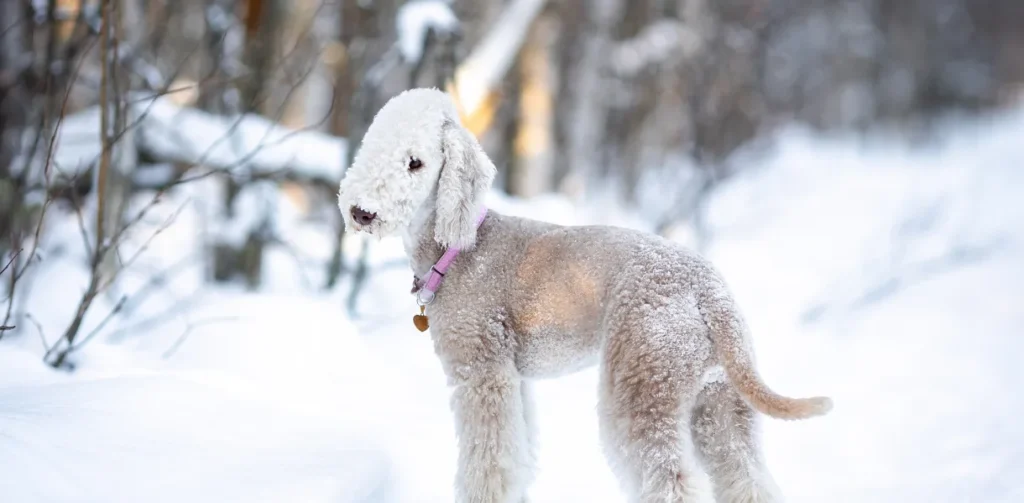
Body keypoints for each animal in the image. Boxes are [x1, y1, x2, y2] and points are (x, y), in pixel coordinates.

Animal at [335, 88, 831, 501]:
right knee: (747, 476)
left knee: (671, 480)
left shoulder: (481, 374)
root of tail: (708, 290)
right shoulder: (513, 380)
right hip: (719, 400)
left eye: (415, 163)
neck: (457, 246)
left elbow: (489, 463)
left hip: (641, 380)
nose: (361, 212)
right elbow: (518, 458)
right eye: (370, 147)